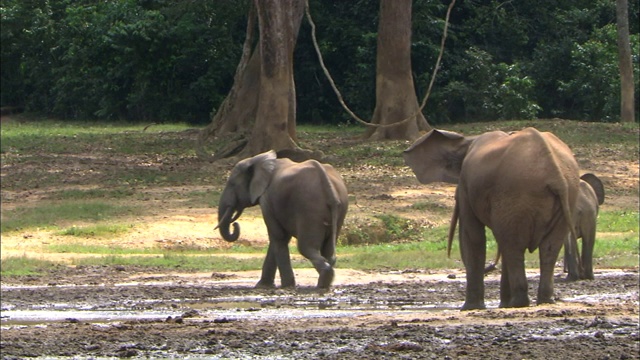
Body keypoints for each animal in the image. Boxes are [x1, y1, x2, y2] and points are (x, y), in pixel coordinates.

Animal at [215, 151, 348, 290]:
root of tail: (329, 188)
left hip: (310, 208)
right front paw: (264, 286)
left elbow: (278, 237)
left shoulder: (266, 200)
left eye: (232, 184)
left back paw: (322, 283)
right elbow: (279, 238)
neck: (257, 160)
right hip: (339, 209)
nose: (235, 224)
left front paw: (285, 286)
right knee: (328, 251)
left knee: (306, 248)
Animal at [404, 127, 580, 310]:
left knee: (513, 246)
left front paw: (470, 308)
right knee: (547, 248)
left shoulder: (467, 185)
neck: (468, 140)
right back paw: (542, 301)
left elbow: (473, 236)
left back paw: (518, 303)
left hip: (516, 193)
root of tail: (555, 174)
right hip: (567, 196)